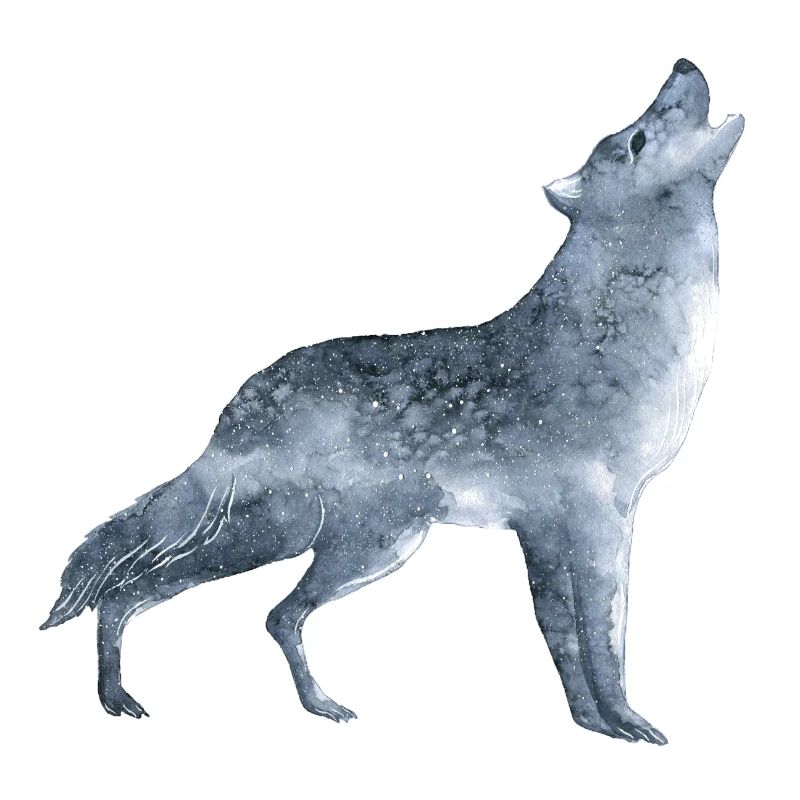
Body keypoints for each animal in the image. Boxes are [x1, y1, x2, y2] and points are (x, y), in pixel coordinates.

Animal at [42, 59, 743, 743]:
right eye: (636, 139)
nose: (683, 61)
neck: (623, 329)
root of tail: (236, 407)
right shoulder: (598, 516)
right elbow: (603, 640)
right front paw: (626, 722)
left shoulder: (545, 528)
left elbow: (563, 640)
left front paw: (591, 724)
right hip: (291, 536)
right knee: (134, 592)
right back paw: (117, 697)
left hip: (371, 545)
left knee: (268, 614)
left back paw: (315, 706)